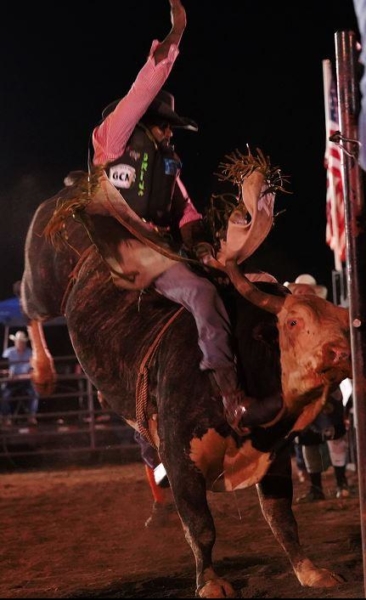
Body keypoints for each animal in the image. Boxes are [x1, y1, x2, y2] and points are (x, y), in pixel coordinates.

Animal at [20, 151, 352, 600]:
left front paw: (311, 571)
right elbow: (201, 526)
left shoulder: (275, 455)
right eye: (294, 322)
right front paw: (211, 583)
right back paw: (42, 374)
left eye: (342, 321)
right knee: (30, 306)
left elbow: (282, 519)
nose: (340, 352)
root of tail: (75, 185)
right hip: (43, 270)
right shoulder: (180, 459)